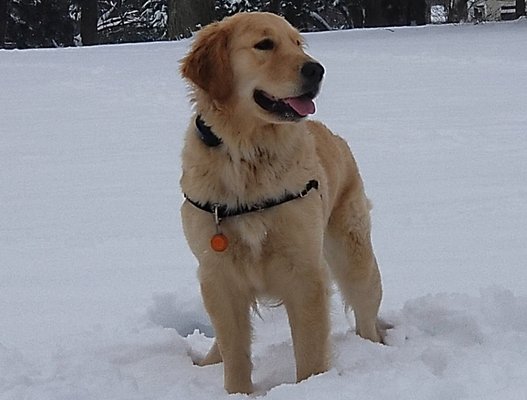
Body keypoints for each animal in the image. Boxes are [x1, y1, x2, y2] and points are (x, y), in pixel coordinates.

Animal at [180, 12, 384, 394]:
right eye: (264, 44)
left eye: (298, 43)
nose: (316, 69)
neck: (248, 154)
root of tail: (336, 137)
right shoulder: (217, 275)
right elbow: (235, 351)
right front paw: (237, 392)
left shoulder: (304, 270)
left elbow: (310, 350)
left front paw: (313, 385)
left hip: (354, 256)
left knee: (367, 314)